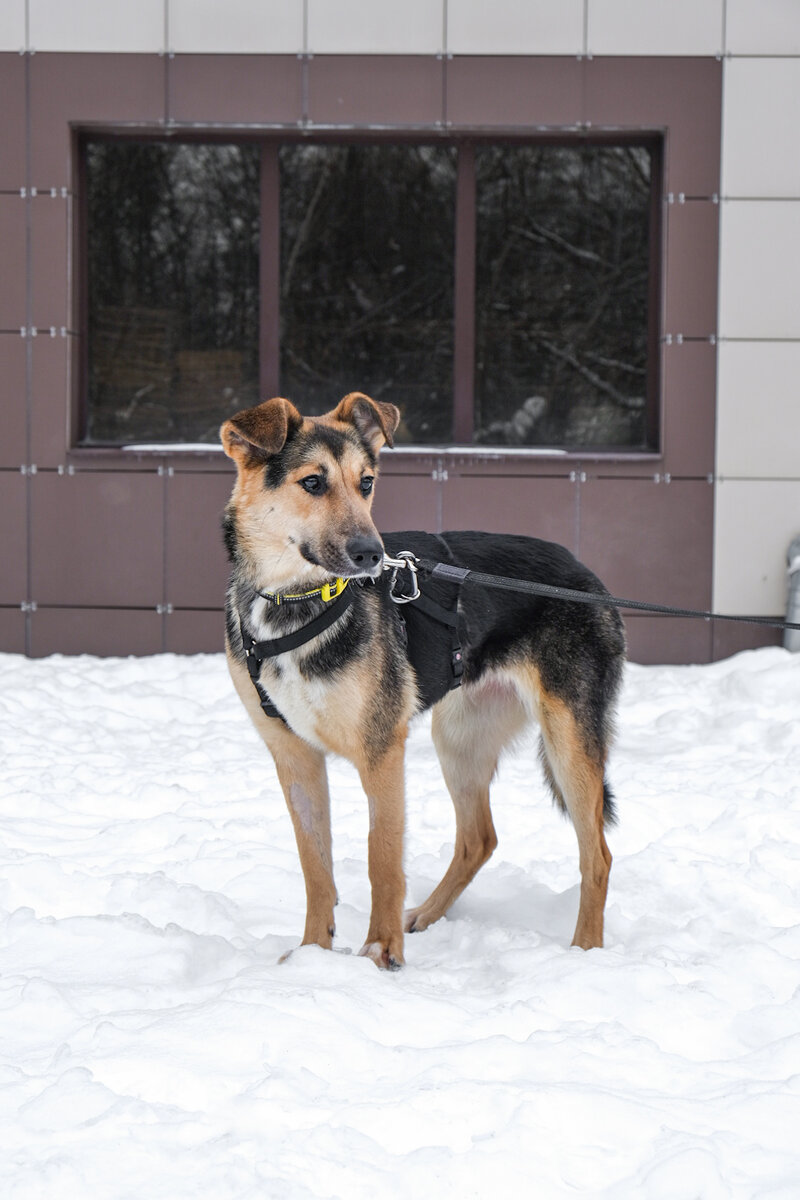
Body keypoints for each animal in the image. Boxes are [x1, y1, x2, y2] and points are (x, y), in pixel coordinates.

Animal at [221, 391, 628, 964]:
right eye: (313, 483)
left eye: (367, 482)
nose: (371, 555)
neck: (294, 602)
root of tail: (587, 576)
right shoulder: (294, 757)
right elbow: (315, 868)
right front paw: (311, 956)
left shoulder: (381, 751)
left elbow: (383, 860)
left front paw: (380, 954)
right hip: (458, 735)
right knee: (479, 838)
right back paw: (428, 915)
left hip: (568, 738)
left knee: (598, 855)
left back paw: (584, 952)